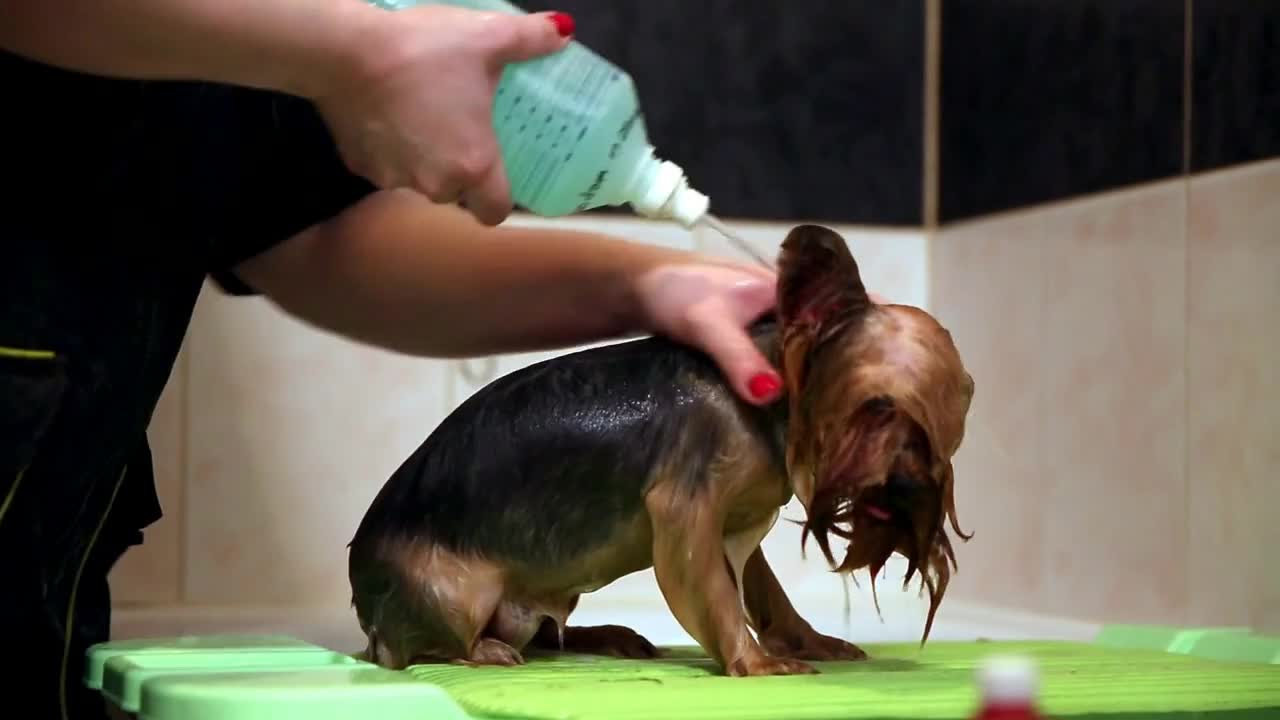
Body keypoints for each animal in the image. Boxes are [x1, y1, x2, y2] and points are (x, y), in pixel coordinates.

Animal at [345, 222, 972, 671]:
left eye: (954, 420)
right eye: (878, 407)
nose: (911, 492)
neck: (771, 407)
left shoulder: (738, 519)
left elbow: (765, 591)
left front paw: (809, 641)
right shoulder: (686, 507)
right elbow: (714, 592)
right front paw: (756, 662)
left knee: (548, 634)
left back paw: (605, 636)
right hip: (451, 594)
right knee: (428, 647)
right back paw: (484, 651)